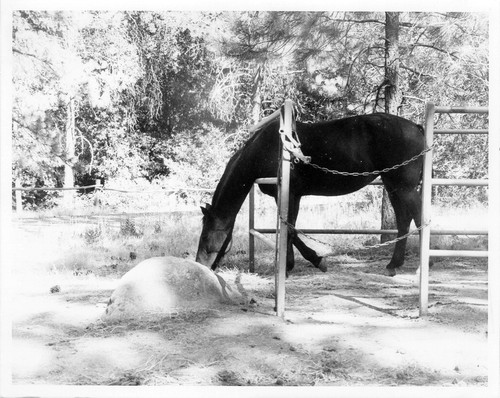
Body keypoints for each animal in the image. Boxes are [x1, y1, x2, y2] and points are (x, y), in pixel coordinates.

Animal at [197, 112, 424, 276]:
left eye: (206, 236)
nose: (200, 265)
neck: (266, 150)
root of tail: (416, 128)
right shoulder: (293, 196)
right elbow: (291, 229)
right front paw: (295, 263)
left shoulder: (288, 195)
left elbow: (291, 231)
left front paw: (307, 263)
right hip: (393, 186)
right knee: (404, 220)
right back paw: (394, 264)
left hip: (404, 188)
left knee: (418, 218)